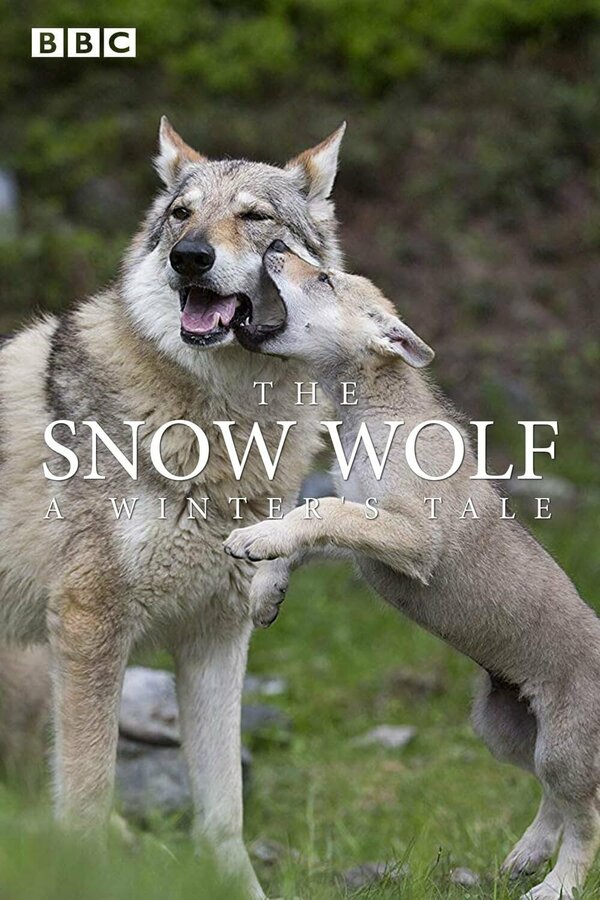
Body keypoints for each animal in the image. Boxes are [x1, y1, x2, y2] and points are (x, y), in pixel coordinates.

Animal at [0, 119, 345, 897]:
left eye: (256, 217)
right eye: (182, 215)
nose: (191, 258)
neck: (223, 424)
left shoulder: (217, 636)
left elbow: (223, 816)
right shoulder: (91, 625)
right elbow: (86, 803)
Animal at [225, 242, 600, 900]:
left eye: (323, 278)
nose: (272, 246)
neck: (369, 408)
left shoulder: (411, 538)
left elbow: (315, 512)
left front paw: (253, 541)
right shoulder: (365, 534)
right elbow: (306, 522)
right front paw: (267, 591)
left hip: (565, 745)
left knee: (587, 816)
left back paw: (555, 884)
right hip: (506, 731)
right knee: (556, 800)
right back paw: (526, 856)